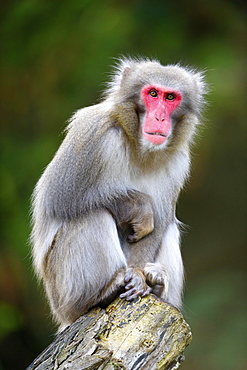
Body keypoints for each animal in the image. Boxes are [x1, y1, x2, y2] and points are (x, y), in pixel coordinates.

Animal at [29, 56, 206, 328]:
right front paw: (139, 206)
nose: (159, 118)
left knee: (169, 228)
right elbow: (58, 197)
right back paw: (99, 294)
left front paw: (139, 275)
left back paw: (158, 284)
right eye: (152, 94)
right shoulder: (93, 133)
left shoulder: (178, 163)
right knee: (93, 215)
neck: (139, 148)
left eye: (170, 97)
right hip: (61, 294)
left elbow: (159, 224)